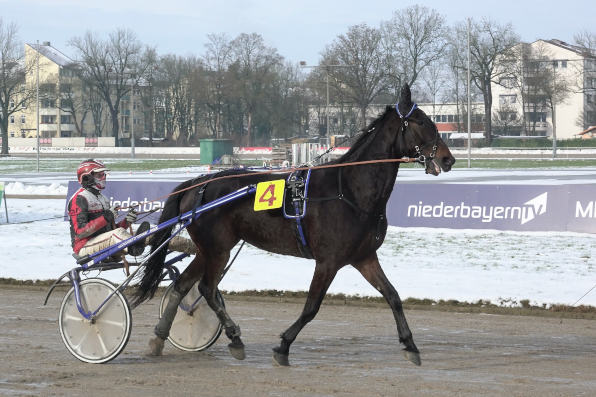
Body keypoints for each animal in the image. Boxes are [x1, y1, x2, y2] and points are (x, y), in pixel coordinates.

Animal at [133, 85, 454, 366]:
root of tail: (198, 183)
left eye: (432, 119)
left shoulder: (364, 257)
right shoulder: (328, 261)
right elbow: (311, 307)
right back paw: (234, 337)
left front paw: (410, 345)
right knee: (207, 288)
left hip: (207, 249)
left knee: (181, 285)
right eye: (420, 121)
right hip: (218, 249)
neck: (350, 190)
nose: (447, 158)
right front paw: (283, 346)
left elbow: (394, 297)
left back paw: (159, 337)